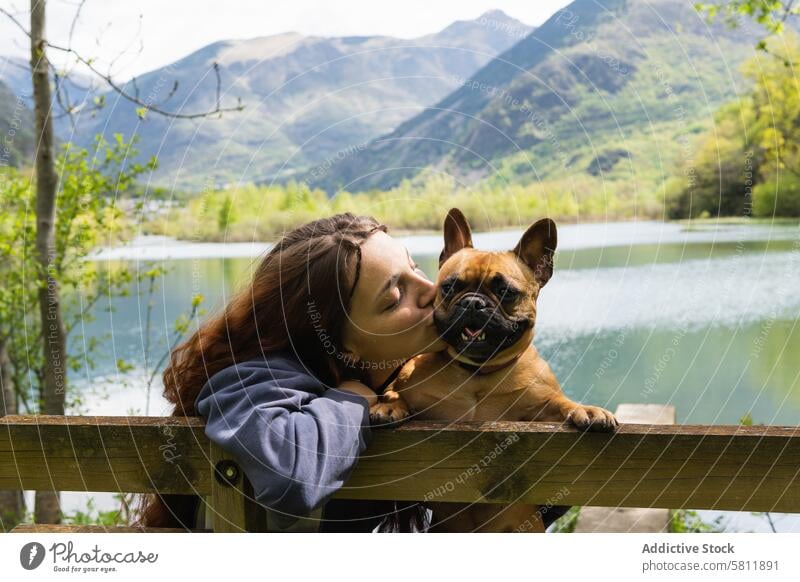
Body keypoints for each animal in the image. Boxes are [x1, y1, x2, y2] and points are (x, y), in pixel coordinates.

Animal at [370, 209, 620, 532]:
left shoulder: (541, 411)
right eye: (450, 287)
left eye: (506, 292)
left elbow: (562, 403)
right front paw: (388, 406)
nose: (473, 302)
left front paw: (587, 410)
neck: (477, 373)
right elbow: (394, 392)